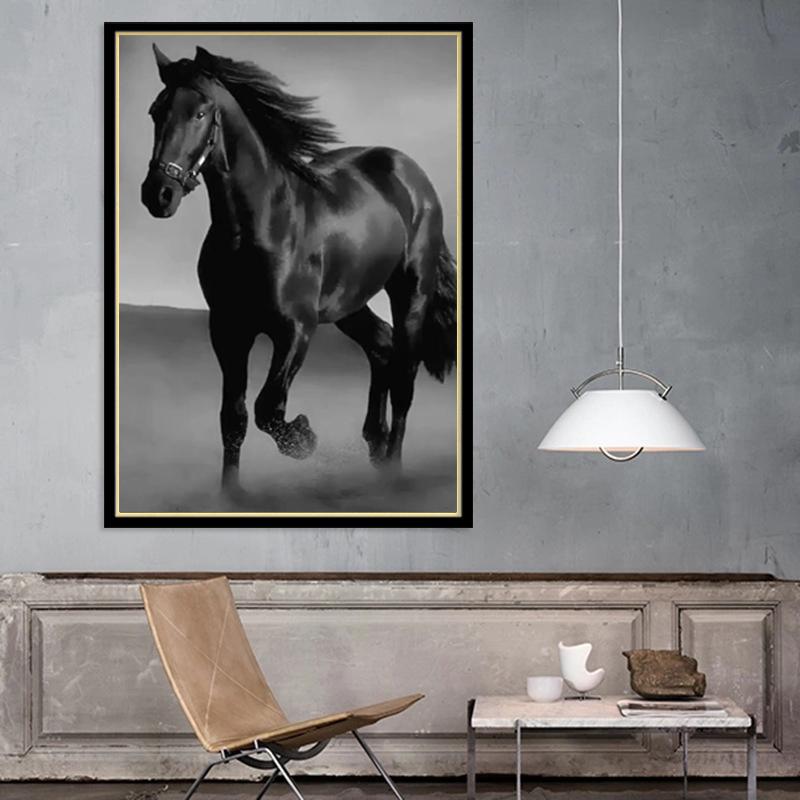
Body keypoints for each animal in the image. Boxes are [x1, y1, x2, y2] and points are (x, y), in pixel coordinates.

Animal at [140, 45, 457, 493]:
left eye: (200, 113)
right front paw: (231, 493)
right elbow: (234, 418)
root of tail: (412, 174)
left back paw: (392, 467)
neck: (257, 227)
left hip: (411, 291)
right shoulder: (228, 330)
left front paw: (303, 438)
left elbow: (267, 407)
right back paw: (374, 445)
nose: (159, 194)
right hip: (348, 303)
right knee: (381, 345)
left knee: (404, 377)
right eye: (156, 111)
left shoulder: (296, 329)